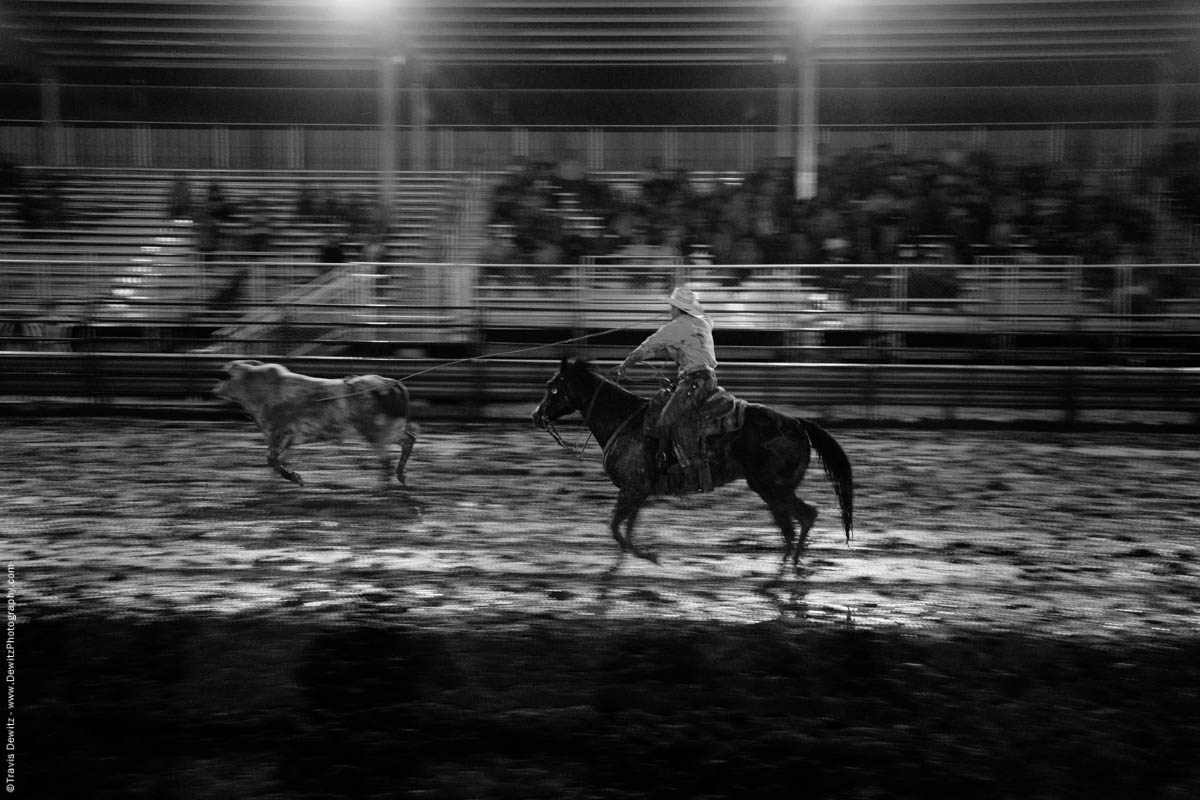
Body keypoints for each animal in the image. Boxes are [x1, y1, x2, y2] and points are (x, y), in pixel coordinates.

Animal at [532, 359, 854, 566]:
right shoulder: (638, 491)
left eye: (553, 387)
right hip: (770, 490)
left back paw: (792, 568)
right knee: (790, 526)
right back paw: (786, 564)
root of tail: (798, 423)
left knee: (805, 517)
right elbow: (627, 528)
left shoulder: (632, 489)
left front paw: (649, 556)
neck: (624, 419)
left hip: (773, 487)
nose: (536, 415)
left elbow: (616, 529)